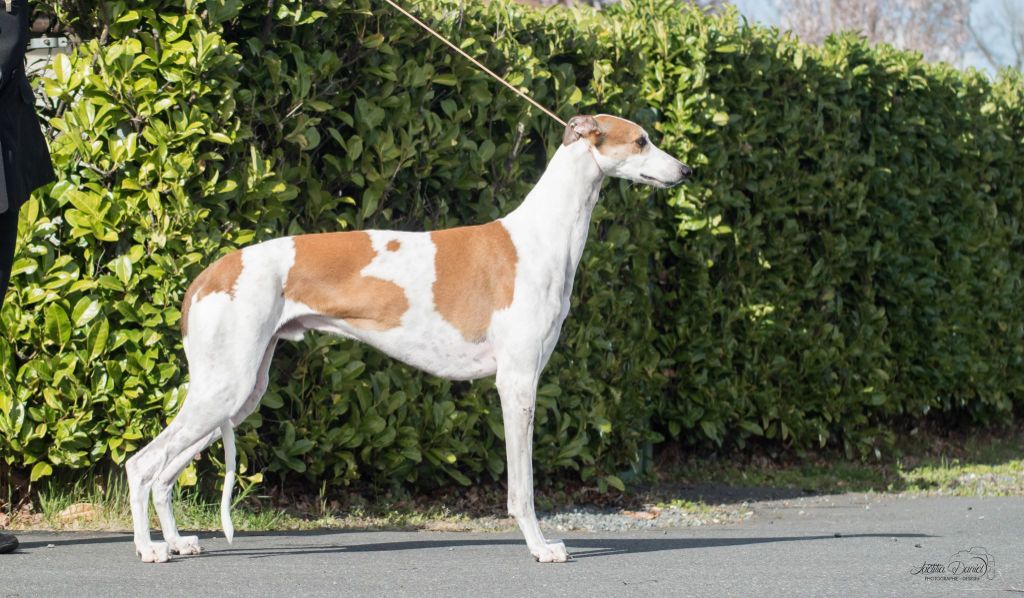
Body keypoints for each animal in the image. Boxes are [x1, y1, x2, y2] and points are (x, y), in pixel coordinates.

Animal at [125, 113, 688, 565]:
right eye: (641, 141)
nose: (685, 171)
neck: (541, 236)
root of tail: (207, 276)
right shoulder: (518, 383)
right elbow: (522, 488)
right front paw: (540, 547)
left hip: (239, 392)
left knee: (166, 474)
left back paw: (176, 542)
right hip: (225, 386)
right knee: (141, 464)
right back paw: (149, 549)